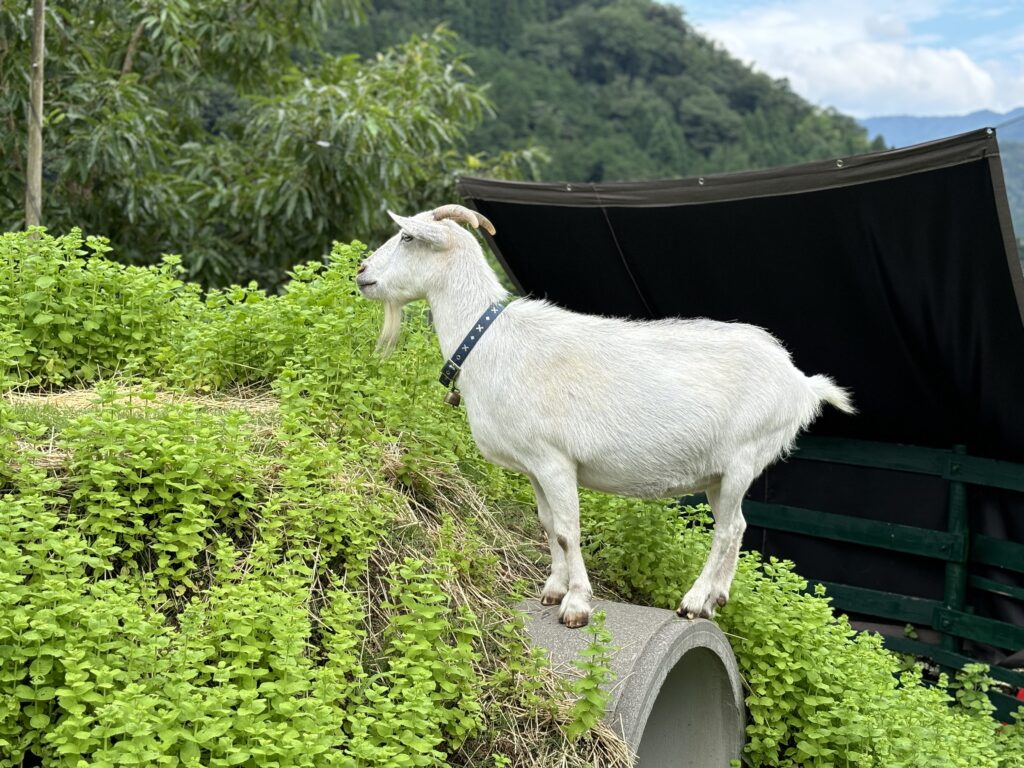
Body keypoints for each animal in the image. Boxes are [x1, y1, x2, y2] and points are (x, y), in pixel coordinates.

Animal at [360, 205, 856, 630]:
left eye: (407, 236)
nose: (362, 272)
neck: (489, 341)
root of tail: (799, 381)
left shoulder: (554, 459)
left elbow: (567, 530)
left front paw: (576, 605)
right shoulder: (533, 466)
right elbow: (548, 523)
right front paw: (552, 589)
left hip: (744, 457)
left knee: (728, 528)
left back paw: (693, 602)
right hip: (720, 474)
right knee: (739, 528)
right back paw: (716, 600)